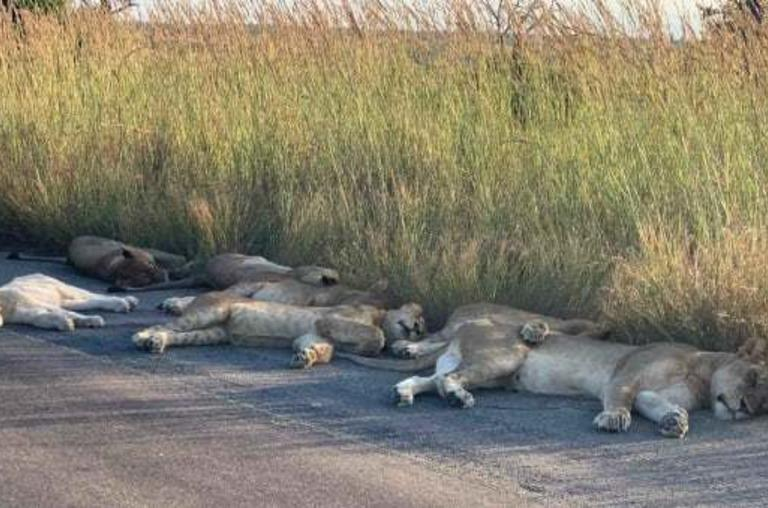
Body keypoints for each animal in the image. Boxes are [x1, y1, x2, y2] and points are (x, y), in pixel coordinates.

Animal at [0, 273, 139, 331]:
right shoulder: (27, 315)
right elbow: (42, 318)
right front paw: (65, 323)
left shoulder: (32, 301)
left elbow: (67, 313)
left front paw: (92, 320)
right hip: (64, 300)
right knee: (87, 302)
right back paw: (127, 302)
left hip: (63, 288)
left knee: (91, 295)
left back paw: (124, 302)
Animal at [132, 291, 426, 368]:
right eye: (418, 317)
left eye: (423, 330)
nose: (416, 330)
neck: (380, 315)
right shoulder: (328, 319)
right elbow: (377, 336)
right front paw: (372, 344)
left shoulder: (311, 335)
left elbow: (324, 350)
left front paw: (305, 358)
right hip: (211, 311)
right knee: (165, 324)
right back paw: (141, 337)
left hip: (212, 333)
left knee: (177, 335)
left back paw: (156, 343)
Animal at [393, 314, 768, 438]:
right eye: (753, 378)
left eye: (765, 405)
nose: (747, 408)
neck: (702, 376)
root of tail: (467, 326)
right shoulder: (625, 374)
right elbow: (619, 399)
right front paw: (614, 419)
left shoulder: (650, 394)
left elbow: (660, 405)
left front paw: (675, 421)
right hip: (504, 357)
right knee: (447, 380)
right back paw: (458, 397)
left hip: (487, 371)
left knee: (432, 380)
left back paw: (403, 393)